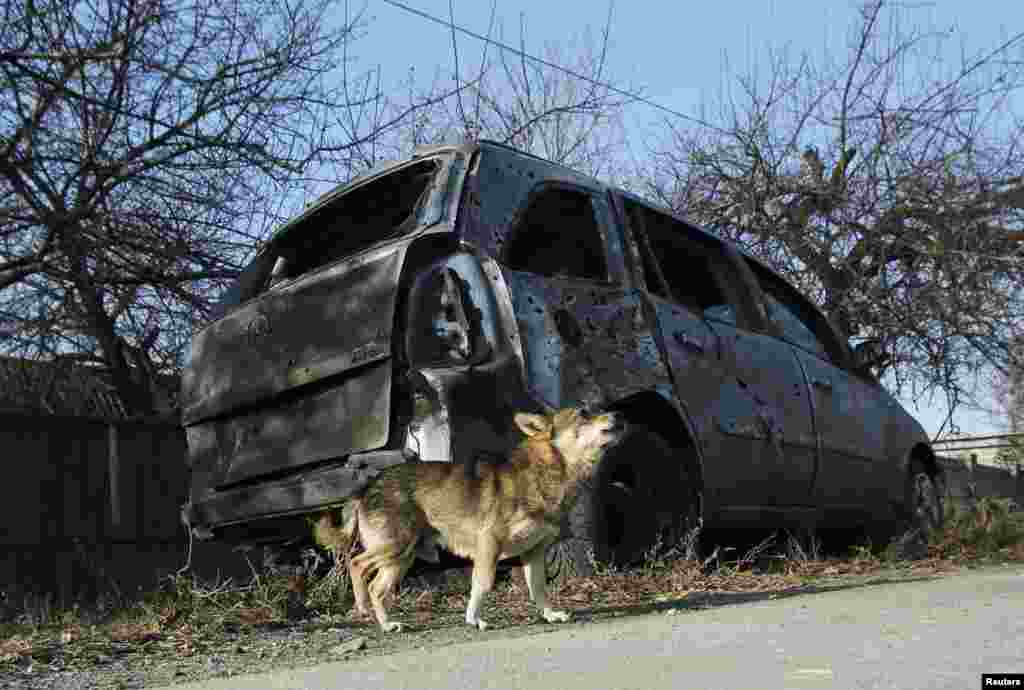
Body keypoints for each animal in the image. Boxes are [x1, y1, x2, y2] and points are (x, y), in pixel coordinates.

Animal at [311, 405, 622, 630]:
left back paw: (380, 619)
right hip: (395, 548)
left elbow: (538, 589)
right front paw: (475, 619)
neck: (546, 473)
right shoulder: (489, 546)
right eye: (583, 413)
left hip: (401, 559)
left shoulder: (534, 553)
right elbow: (482, 585)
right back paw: (369, 610)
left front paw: (549, 614)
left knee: (372, 582)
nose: (618, 415)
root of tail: (367, 488)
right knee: (358, 566)